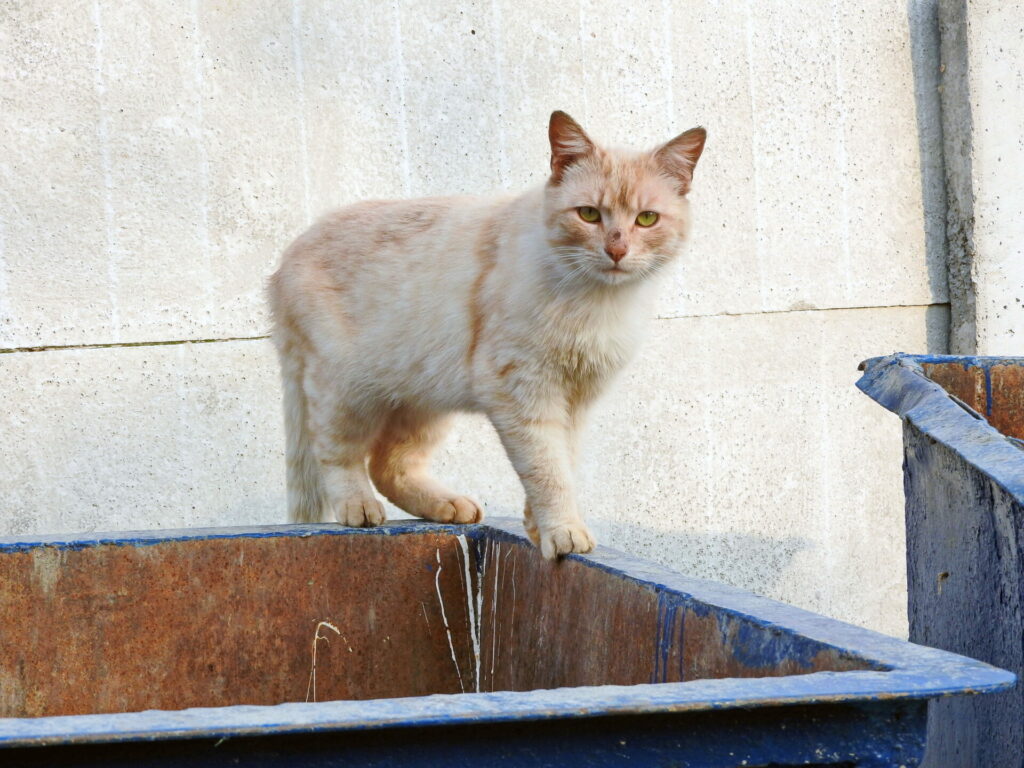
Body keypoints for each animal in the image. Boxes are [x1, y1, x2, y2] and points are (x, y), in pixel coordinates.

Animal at [268, 111, 708, 561]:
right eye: (588, 214)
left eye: (646, 219)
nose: (617, 251)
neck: (598, 301)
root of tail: (287, 258)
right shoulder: (523, 391)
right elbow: (548, 471)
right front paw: (563, 533)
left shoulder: (574, 400)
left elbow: (561, 464)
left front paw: (537, 527)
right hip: (348, 391)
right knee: (336, 452)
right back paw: (358, 506)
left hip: (423, 398)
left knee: (390, 465)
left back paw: (447, 505)